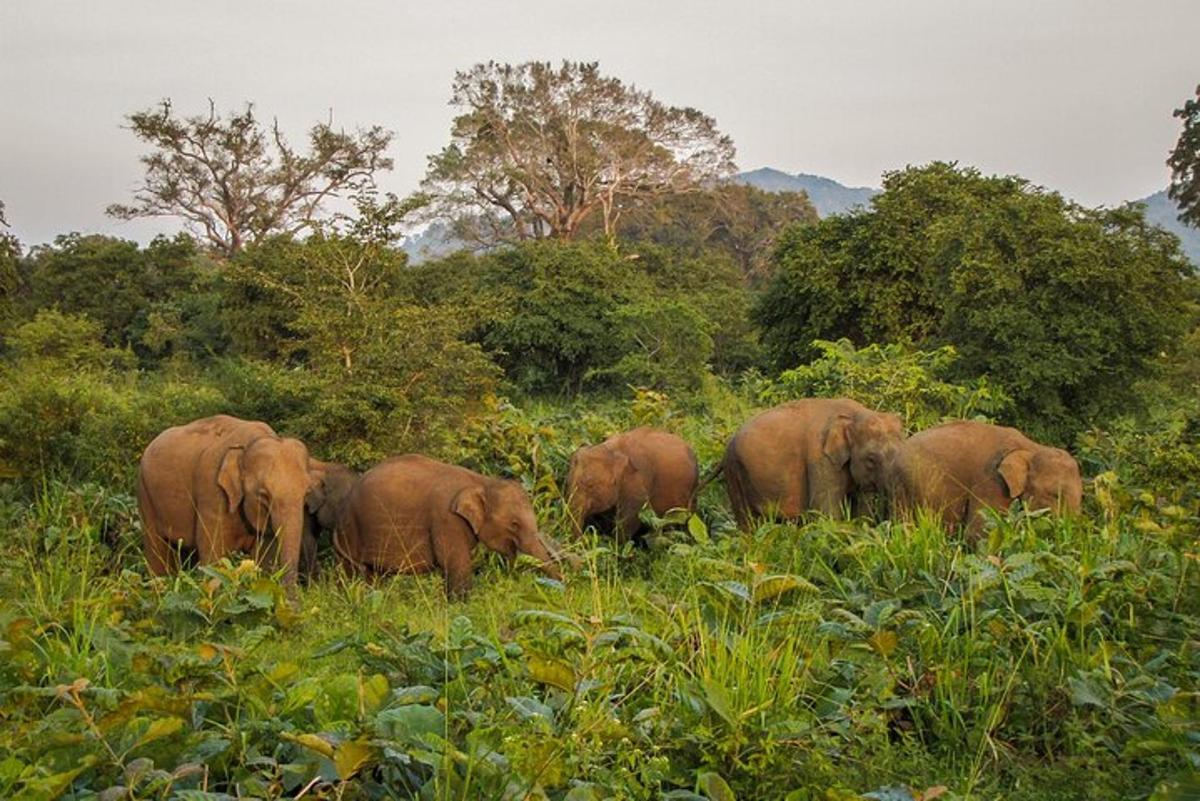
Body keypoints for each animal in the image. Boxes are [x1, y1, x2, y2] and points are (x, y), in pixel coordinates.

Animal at [137, 417, 319, 585]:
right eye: (263, 494)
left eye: (307, 493)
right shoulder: (212, 492)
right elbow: (214, 556)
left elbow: (265, 556)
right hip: (145, 494)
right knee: (156, 548)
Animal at [336, 453, 564, 597]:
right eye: (514, 524)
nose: (564, 586)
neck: (482, 481)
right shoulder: (445, 518)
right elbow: (454, 562)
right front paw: (461, 606)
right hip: (350, 529)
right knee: (353, 572)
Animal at [564, 424, 700, 544]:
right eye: (567, 483)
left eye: (590, 486)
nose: (585, 539)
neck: (613, 450)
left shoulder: (638, 482)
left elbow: (629, 521)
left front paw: (616, 546)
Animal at [720, 398, 902, 525]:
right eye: (871, 459)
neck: (854, 416)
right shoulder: (820, 459)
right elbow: (826, 512)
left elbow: (863, 509)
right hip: (735, 472)